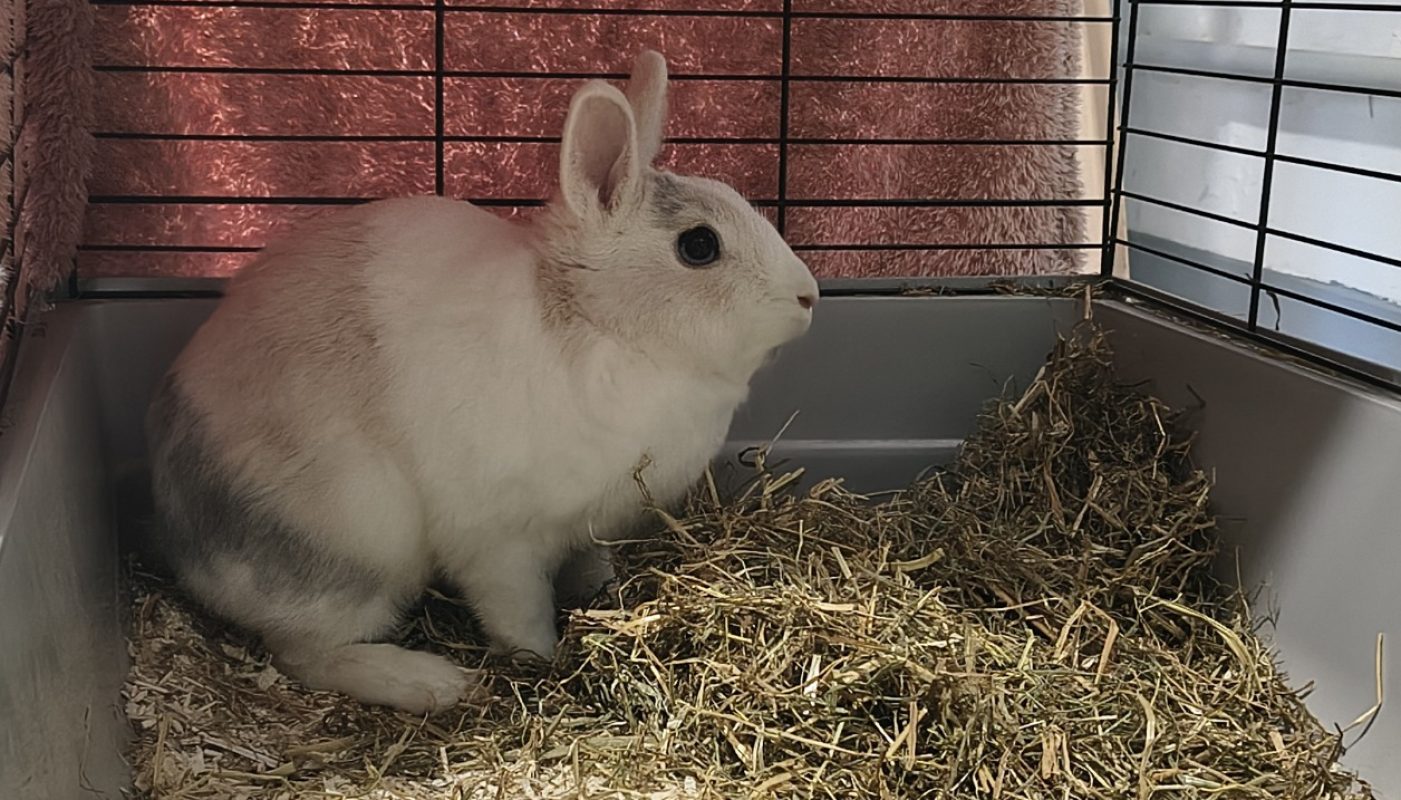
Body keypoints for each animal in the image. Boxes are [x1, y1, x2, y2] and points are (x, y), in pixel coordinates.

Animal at [143, 50, 820, 715]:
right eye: (699, 246)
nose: (809, 296)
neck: (597, 324)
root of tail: (179, 546)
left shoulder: (587, 526)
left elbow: (588, 562)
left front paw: (600, 593)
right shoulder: (500, 545)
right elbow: (518, 612)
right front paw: (543, 661)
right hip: (357, 546)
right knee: (304, 654)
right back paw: (435, 684)